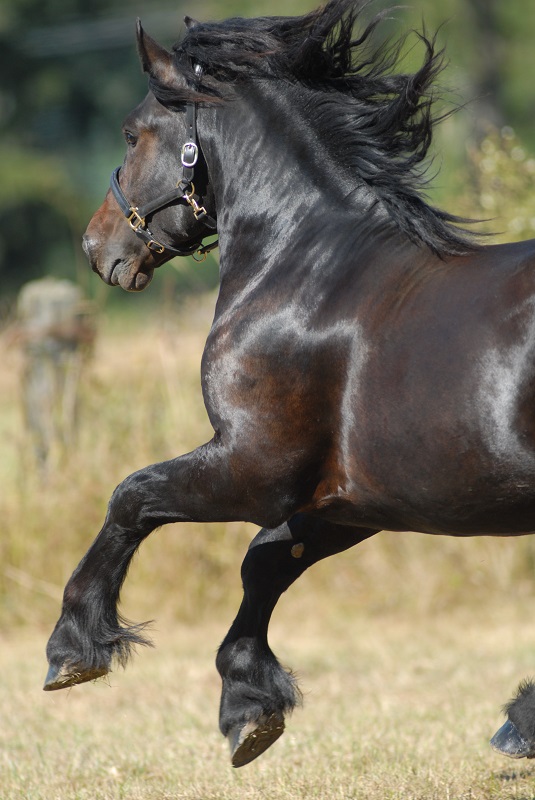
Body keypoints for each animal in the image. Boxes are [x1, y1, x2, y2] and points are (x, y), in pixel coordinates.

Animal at [44, 0, 535, 768]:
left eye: (132, 131)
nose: (99, 248)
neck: (305, 272)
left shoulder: (256, 467)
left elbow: (133, 497)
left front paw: (73, 646)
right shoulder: (349, 497)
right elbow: (265, 563)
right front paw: (251, 707)